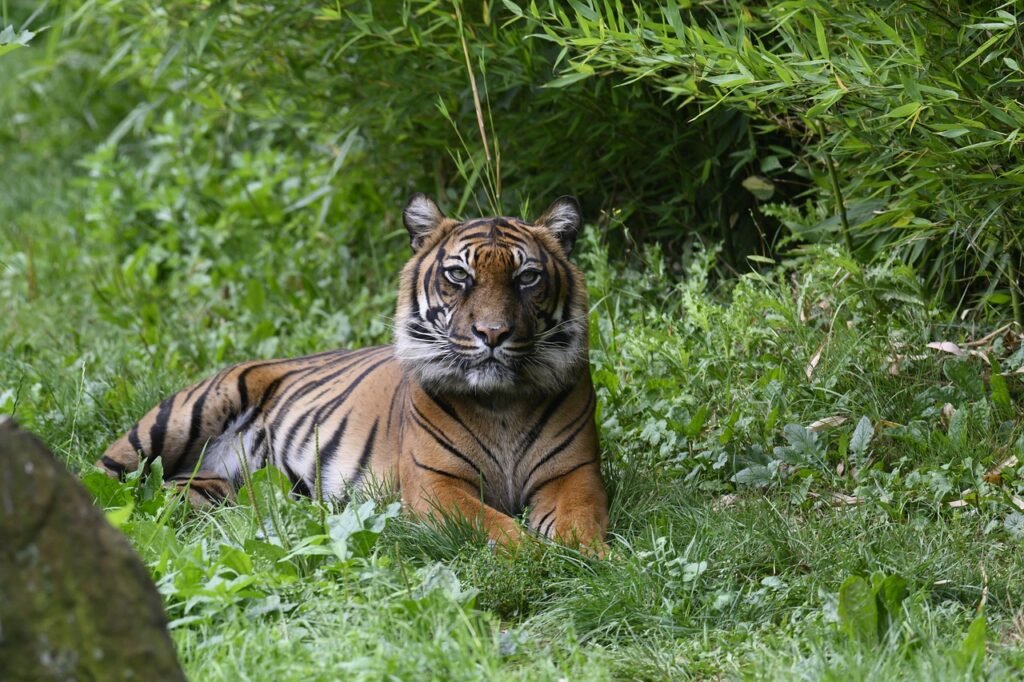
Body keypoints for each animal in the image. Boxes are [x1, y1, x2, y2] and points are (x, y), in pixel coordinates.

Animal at [97, 192, 606, 552]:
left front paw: (590, 559)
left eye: (527, 278)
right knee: (107, 481)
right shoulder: (435, 483)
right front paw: (534, 555)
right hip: (180, 417)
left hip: (211, 489)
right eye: (459, 275)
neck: (500, 402)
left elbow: (579, 519)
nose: (493, 333)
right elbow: (491, 523)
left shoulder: (574, 473)